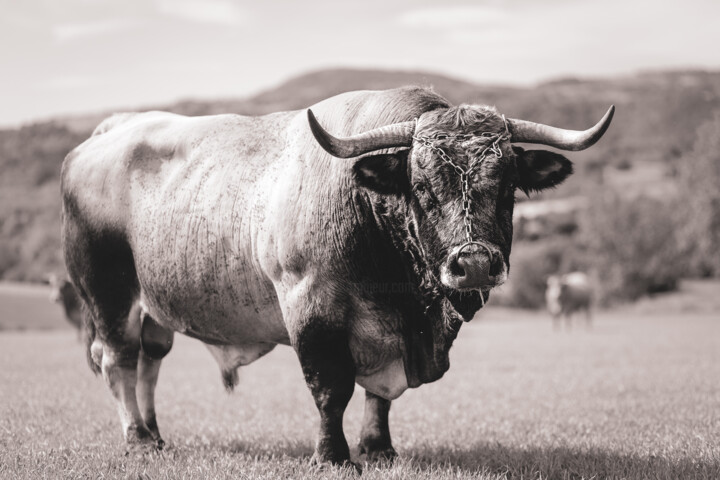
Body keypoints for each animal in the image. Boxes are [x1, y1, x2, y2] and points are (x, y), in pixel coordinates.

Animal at [63, 86, 612, 468]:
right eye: (420, 186)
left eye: (507, 186)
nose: (475, 262)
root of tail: (104, 134)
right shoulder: (311, 306)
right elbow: (331, 388)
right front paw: (333, 456)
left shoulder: (393, 331)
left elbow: (379, 396)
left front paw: (378, 449)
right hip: (108, 295)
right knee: (118, 361)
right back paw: (137, 439)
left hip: (153, 308)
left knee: (148, 363)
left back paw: (156, 435)